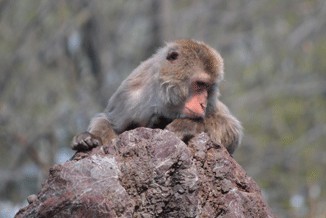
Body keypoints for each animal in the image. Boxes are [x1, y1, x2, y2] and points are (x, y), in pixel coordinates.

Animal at [72, 39, 242, 155]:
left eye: (209, 87)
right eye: (200, 84)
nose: (202, 104)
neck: (165, 100)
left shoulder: (211, 103)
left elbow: (232, 131)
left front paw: (187, 125)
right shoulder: (129, 96)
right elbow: (110, 122)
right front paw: (89, 137)